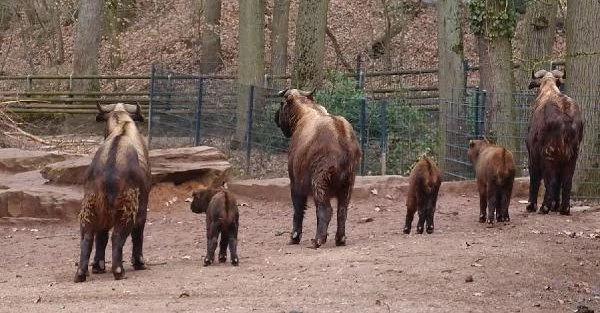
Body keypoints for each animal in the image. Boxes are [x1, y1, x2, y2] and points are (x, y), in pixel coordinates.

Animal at [74, 101, 151, 282]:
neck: (122, 124)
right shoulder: (143, 205)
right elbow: (138, 233)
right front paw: (139, 262)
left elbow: (101, 237)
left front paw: (98, 265)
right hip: (127, 210)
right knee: (118, 237)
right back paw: (118, 270)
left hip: (89, 207)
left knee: (88, 237)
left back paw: (82, 272)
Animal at [274, 87, 358, 246]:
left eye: (282, 104)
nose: (275, 118)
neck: (304, 112)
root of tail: (342, 134)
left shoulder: (295, 183)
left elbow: (298, 211)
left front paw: (295, 237)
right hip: (347, 186)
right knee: (342, 211)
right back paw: (339, 239)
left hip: (319, 182)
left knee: (326, 210)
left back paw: (318, 240)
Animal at [528, 69, 584, 214]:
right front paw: (555, 205)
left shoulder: (533, 155)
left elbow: (535, 178)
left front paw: (531, 205)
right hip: (572, 157)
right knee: (567, 180)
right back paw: (564, 208)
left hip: (549, 155)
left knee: (551, 180)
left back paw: (544, 207)